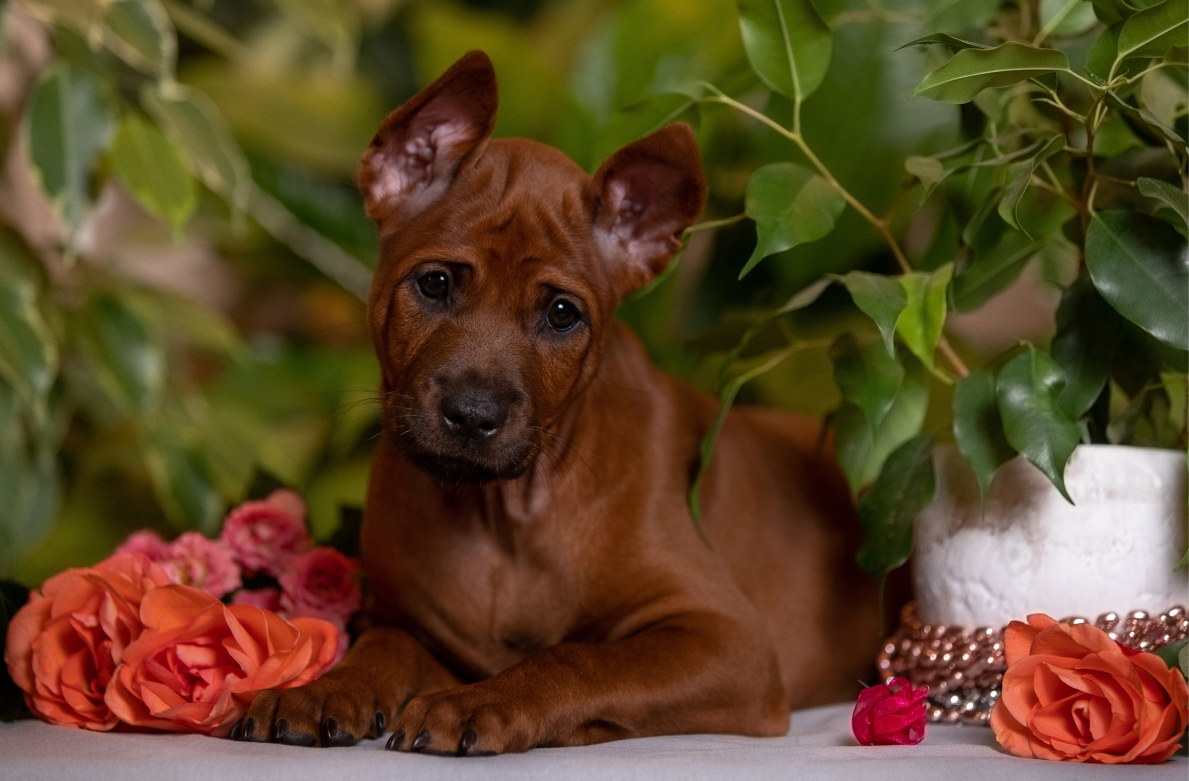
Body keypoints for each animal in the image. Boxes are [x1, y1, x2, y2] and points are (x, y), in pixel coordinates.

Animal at [236, 50, 879, 756]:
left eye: (562, 314)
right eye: (435, 283)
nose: (473, 416)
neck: (503, 516)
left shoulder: (727, 637)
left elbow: (579, 658)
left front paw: (480, 703)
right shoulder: (413, 625)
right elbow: (381, 647)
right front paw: (325, 690)